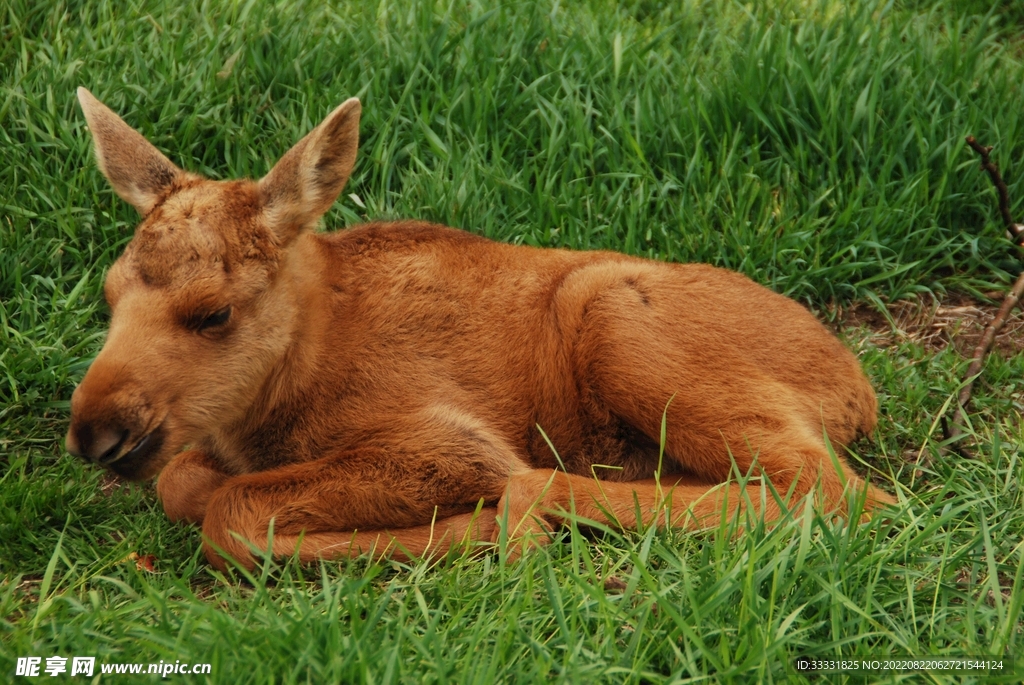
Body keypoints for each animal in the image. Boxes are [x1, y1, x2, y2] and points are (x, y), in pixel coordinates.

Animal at [66, 88, 895, 572]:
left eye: (214, 312)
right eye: (108, 295)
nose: (95, 431)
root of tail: (859, 390)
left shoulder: (444, 441)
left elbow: (230, 514)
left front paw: (469, 528)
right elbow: (183, 481)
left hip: (615, 320)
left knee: (842, 496)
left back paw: (534, 508)